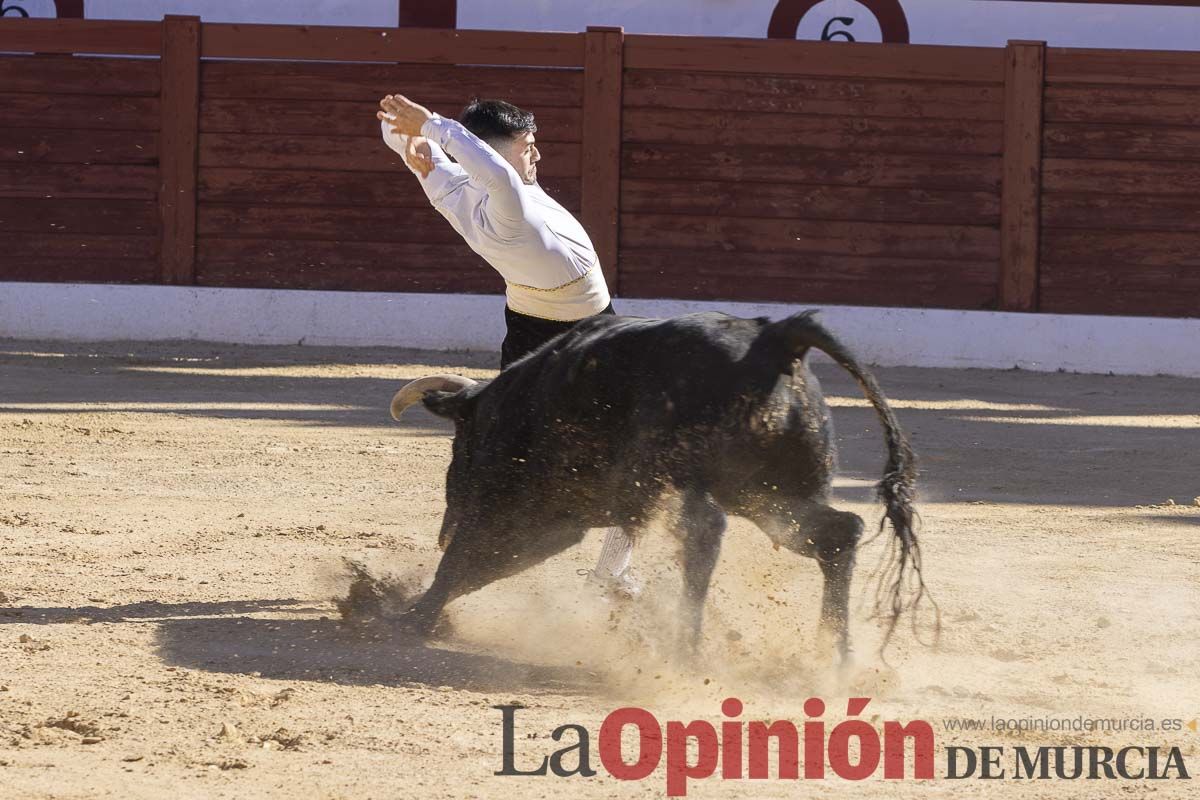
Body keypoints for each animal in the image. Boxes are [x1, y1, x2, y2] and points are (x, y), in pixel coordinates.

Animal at [386, 309, 926, 662]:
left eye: (459, 444)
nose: (442, 529)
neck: (506, 404)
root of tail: (775, 336)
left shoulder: (520, 508)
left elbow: (465, 559)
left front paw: (406, 618)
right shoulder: (558, 522)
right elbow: (481, 565)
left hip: (677, 477)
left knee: (705, 533)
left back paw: (685, 649)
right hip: (773, 495)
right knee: (838, 534)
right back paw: (834, 656)